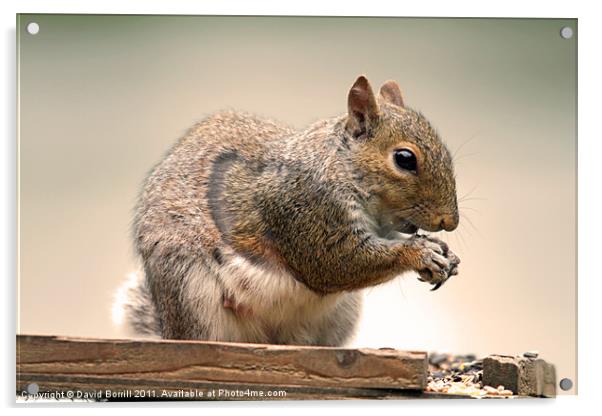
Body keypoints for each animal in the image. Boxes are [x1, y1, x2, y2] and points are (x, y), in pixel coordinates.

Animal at [113, 75, 460, 344]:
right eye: (404, 158)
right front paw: (421, 254)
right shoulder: (305, 210)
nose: (450, 222)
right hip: (191, 293)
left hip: (338, 316)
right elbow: (337, 264)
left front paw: (444, 252)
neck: (342, 167)